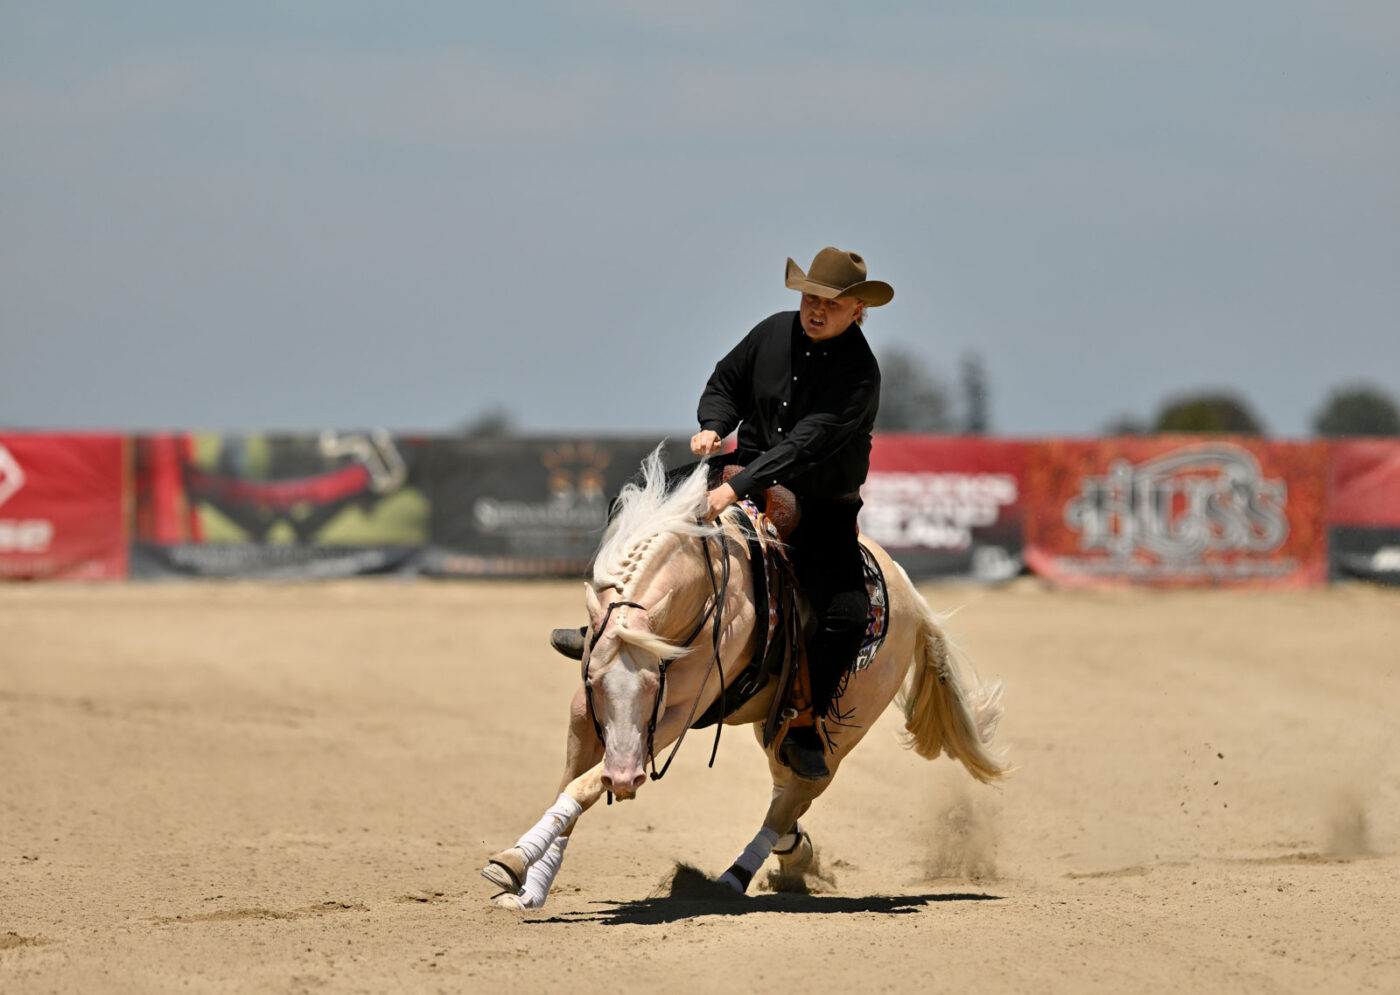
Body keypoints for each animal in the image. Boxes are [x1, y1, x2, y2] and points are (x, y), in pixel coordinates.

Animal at [481, 450, 1008, 912]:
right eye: (592, 679)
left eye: (656, 684)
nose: (626, 778)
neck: (704, 579)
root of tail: (908, 592)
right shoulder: (584, 713)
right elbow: (570, 784)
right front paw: (526, 883)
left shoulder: (677, 714)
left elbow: (585, 786)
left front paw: (512, 863)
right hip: (778, 726)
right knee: (787, 789)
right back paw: (794, 854)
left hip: (839, 734)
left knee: (797, 793)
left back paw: (735, 877)